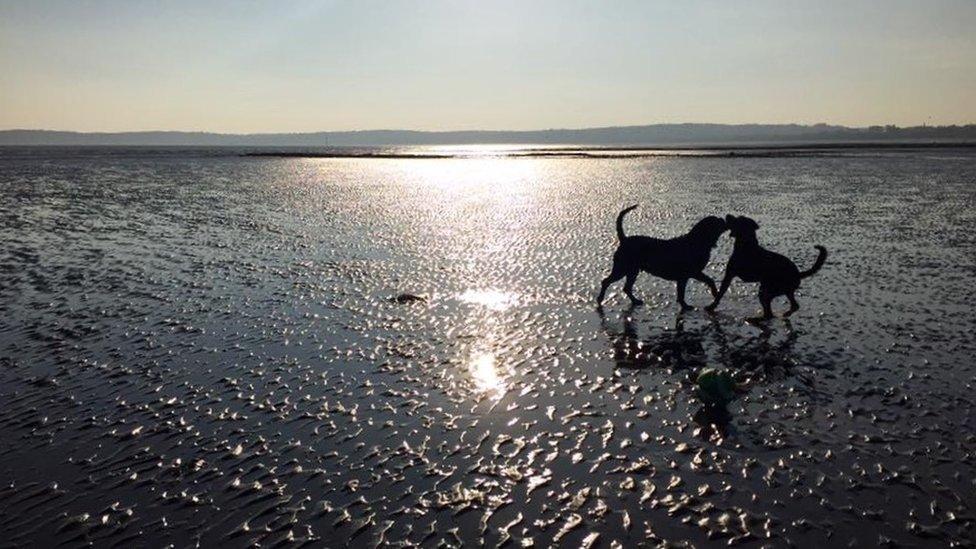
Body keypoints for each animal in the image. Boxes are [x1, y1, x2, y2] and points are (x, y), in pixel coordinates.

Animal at [600, 206, 728, 308]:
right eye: (717, 221)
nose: (724, 219)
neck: (698, 241)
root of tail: (624, 239)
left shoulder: (687, 276)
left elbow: (686, 290)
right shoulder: (691, 273)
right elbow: (703, 283)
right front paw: (687, 305)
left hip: (632, 271)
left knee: (626, 288)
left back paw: (635, 301)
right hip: (622, 268)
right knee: (606, 281)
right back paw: (600, 299)